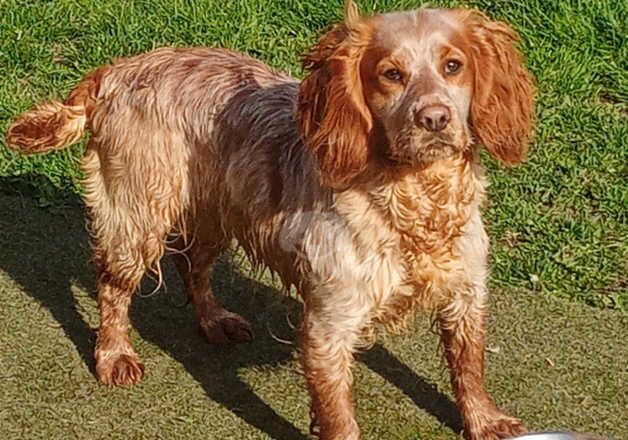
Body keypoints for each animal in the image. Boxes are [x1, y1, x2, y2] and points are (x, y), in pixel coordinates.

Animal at [6, 1, 536, 438]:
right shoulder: (329, 325)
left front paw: (486, 422)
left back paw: (215, 321)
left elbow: (469, 368)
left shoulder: (467, 293)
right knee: (114, 288)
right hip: (139, 213)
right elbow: (339, 417)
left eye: (453, 65)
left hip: (218, 209)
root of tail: (116, 68)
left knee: (191, 264)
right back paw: (115, 356)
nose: (434, 118)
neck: (418, 199)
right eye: (391, 74)